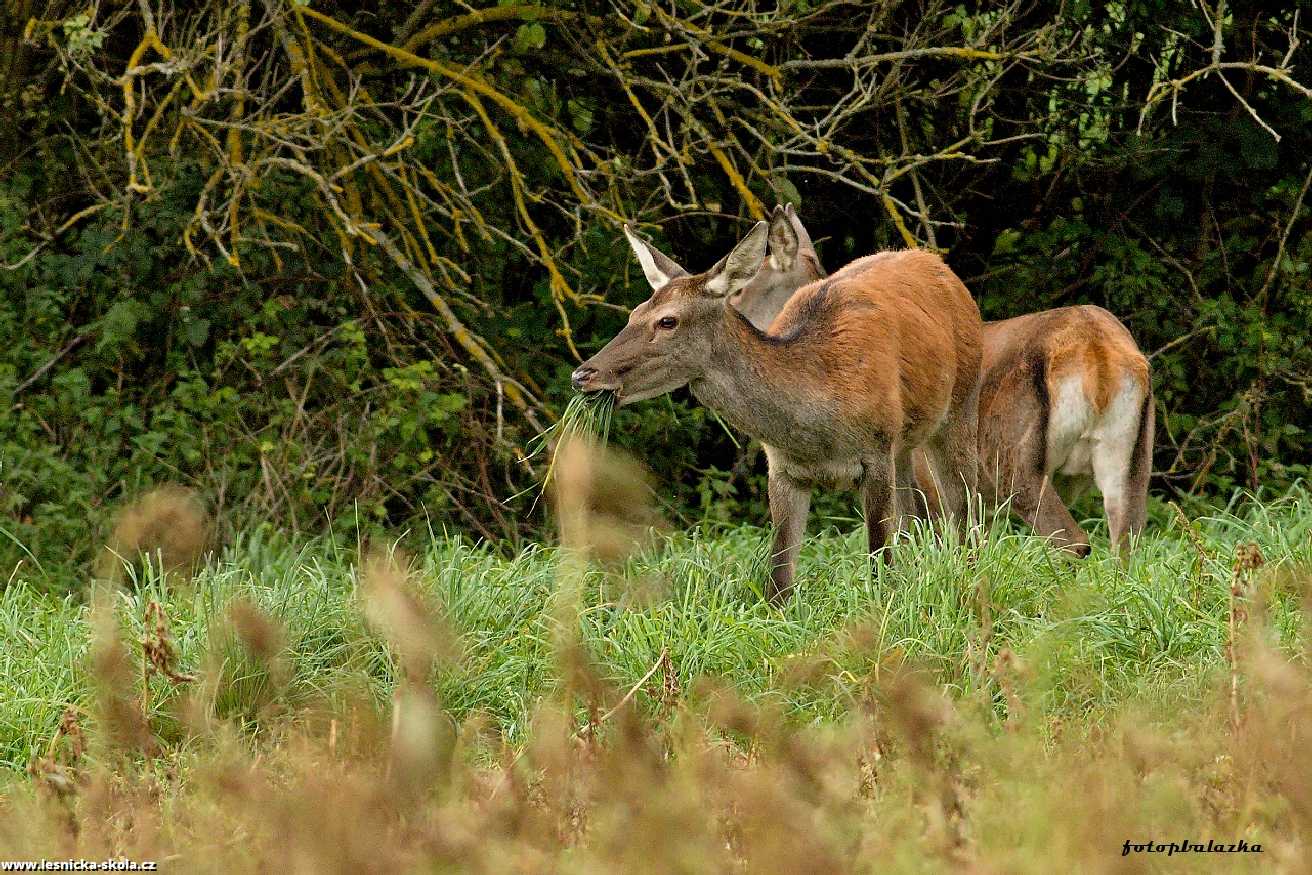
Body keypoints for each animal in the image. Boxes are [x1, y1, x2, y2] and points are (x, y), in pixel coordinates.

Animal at [574, 219, 986, 603]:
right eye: (633, 313)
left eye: (667, 320)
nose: (583, 375)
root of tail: (936, 263)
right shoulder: (784, 470)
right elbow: (779, 579)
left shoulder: (875, 452)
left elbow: (879, 561)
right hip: (903, 442)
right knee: (914, 512)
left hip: (959, 409)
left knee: (966, 510)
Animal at [739, 205, 1159, 553]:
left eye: (743, 284)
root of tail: (1099, 355)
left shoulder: (923, 484)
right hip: (1133, 462)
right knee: (1127, 546)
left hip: (1013, 459)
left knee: (1072, 540)